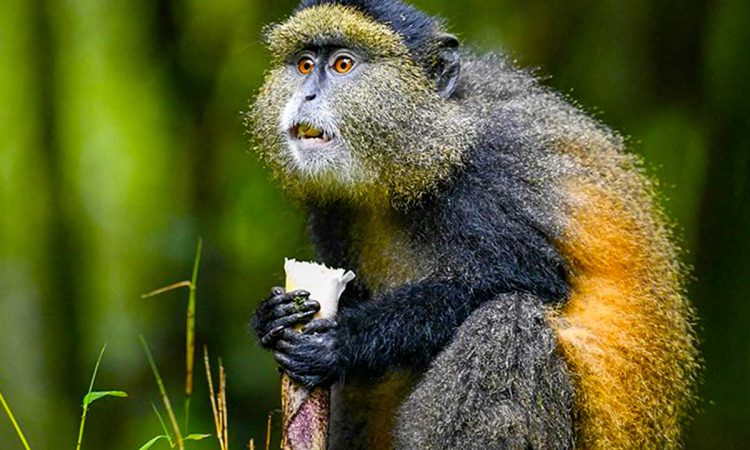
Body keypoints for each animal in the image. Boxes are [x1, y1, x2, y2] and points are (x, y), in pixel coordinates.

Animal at [246, 0, 699, 448]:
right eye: (305, 64)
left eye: (343, 64)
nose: (307, 93)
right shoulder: (331, 209)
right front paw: (272, 317)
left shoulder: (490, 171)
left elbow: (533, 279)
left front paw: (342, 341)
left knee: (510, 318)